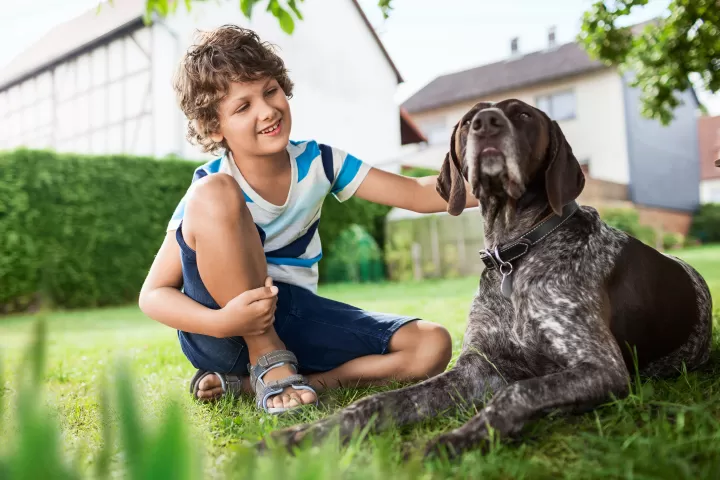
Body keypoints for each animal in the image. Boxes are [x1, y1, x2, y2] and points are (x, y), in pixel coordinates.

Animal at [260, 99, 716, 460]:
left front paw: (457, 438)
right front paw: (309, 433)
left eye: (524, 115)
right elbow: (379, 402)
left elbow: (515, 393)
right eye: (467, 121)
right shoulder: (476, 369)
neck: (515, 253)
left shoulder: (600, 367)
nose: (486, 124)